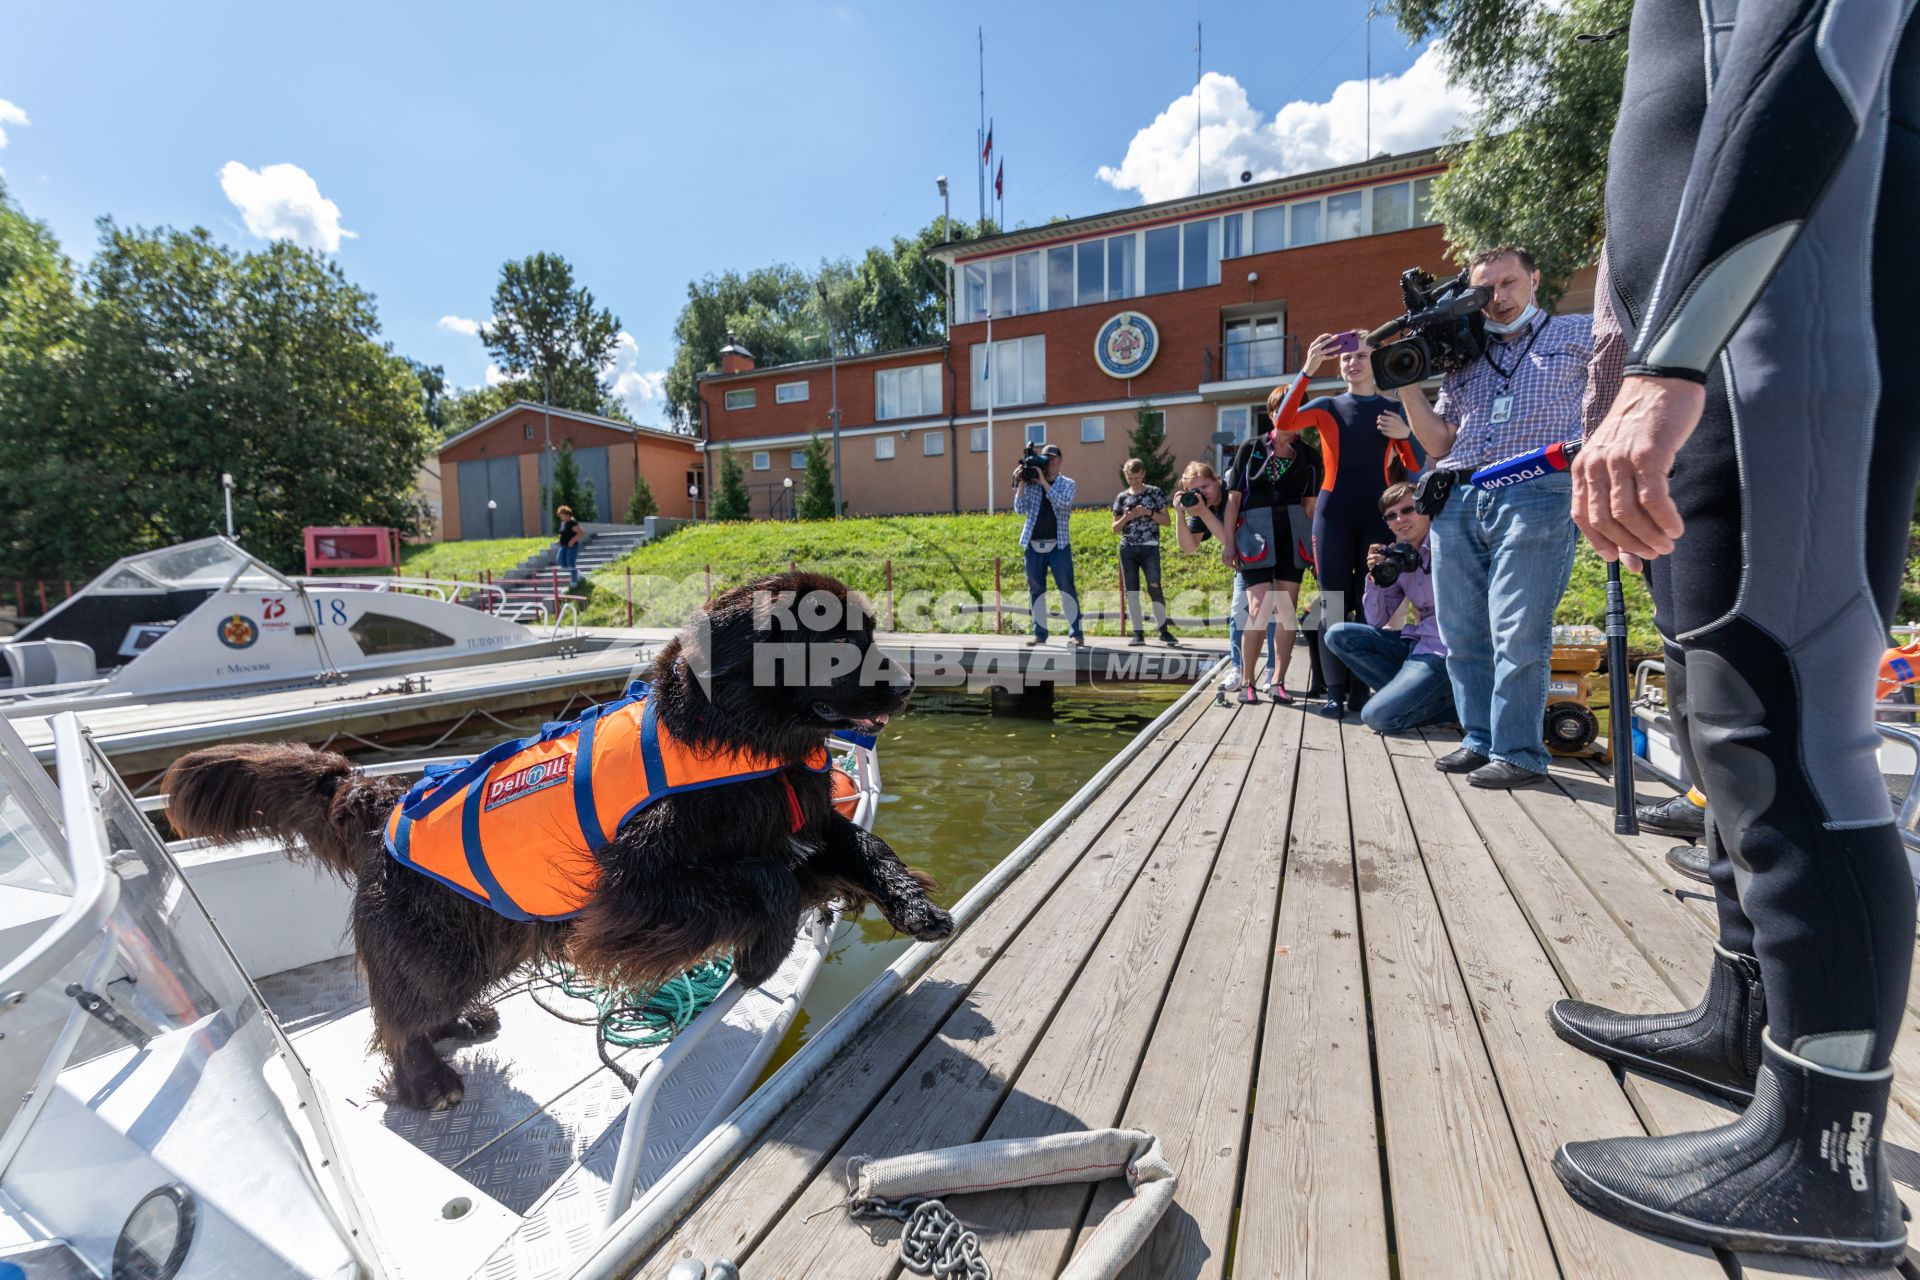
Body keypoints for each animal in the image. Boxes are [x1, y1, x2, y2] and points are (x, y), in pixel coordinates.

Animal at [163, 571, 952, 1113]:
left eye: (868, 634)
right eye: (834, 642)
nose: (907, 685)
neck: (738, 741)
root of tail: (381, 802)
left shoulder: (804, 820)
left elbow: (859, 852)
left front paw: (915, 910)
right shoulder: (632, 893)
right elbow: (767, 882)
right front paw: (764, 952)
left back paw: (464, 1022)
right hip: (435, 945)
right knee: (397, 1018)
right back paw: (429, 1082)